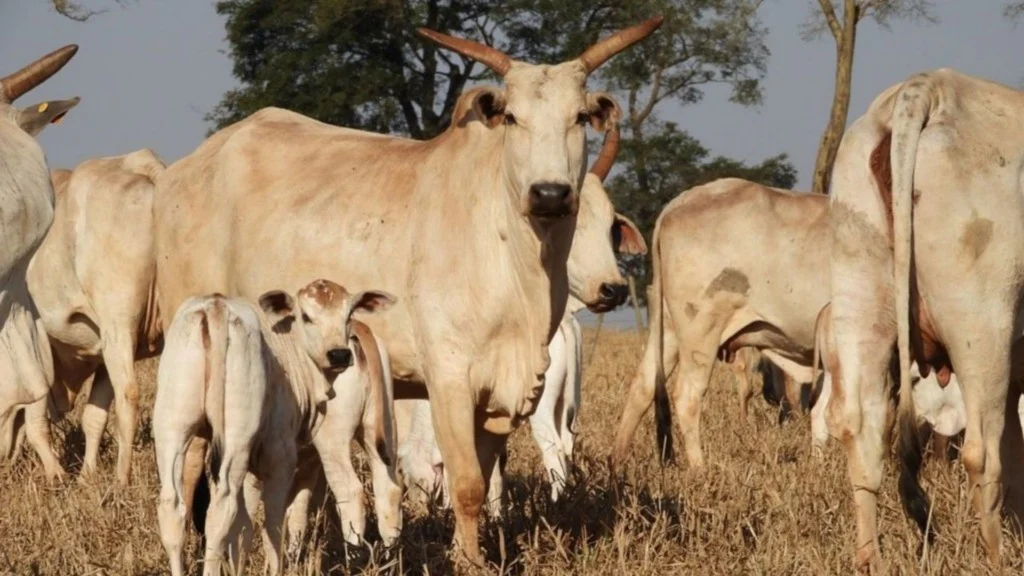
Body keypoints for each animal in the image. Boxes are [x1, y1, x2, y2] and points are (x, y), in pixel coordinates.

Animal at [14, 150, 165, 485]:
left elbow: (35, 419)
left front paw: (56, 475)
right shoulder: (102, 354)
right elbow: (94, 417)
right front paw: (86, 477)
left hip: (119, 323)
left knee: (129, 396)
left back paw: (122, 480)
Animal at [154, 280, 399, 576]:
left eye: (349, 313)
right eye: (306, 316)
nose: (340, 354)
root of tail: (216, 306)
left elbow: (246, 525)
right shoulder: (279, 457)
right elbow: (273, 523)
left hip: (174, 429)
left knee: (175, 508)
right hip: (277, 441)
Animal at [610, 178, 829, 471]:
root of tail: (678, 203)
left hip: (667, 329)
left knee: (642, 386)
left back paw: (617, 461)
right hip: (701, 330)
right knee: (687, 395)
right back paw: (699, 468)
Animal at [826, 68, 1024, 571]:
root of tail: (928, 87)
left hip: (859, 298)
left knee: (860, 429)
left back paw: (870, 559)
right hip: (982, 326)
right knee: (981, 453)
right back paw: (997, 560)